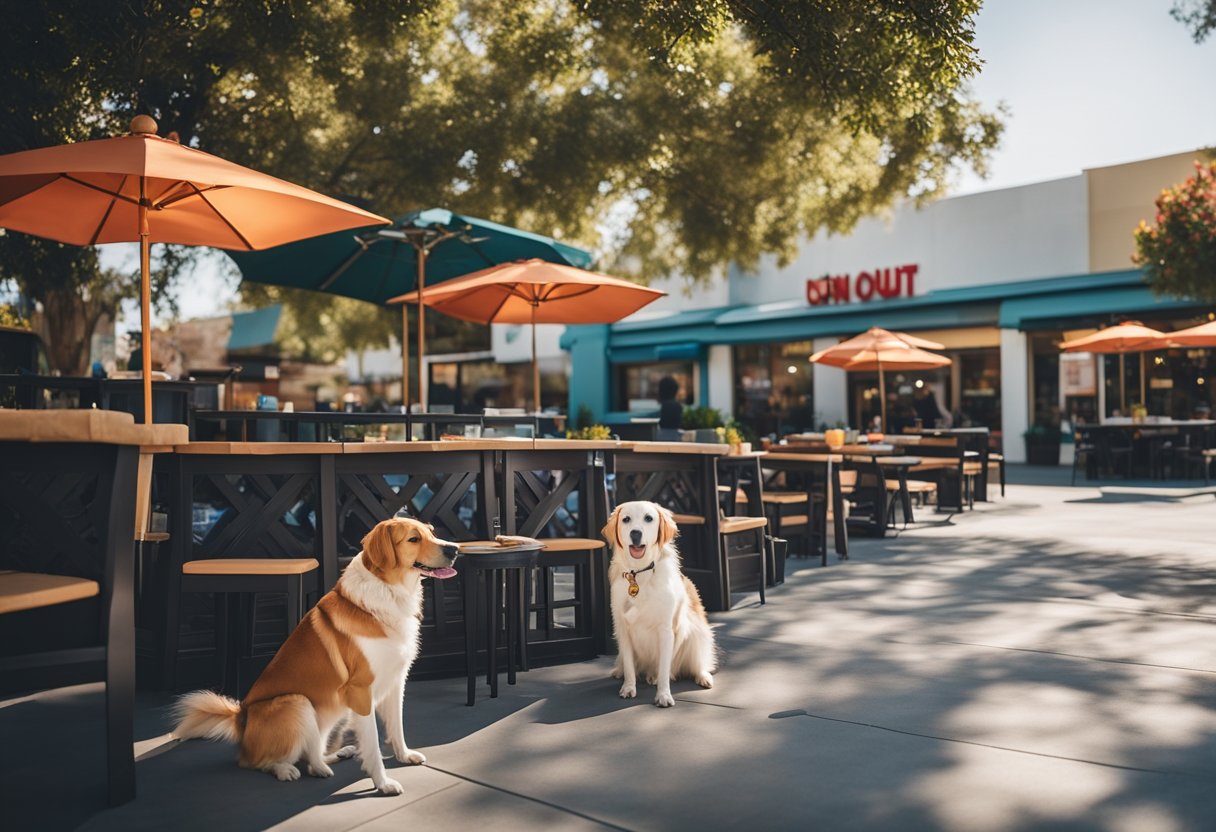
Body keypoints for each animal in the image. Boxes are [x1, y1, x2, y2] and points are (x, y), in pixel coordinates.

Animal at [170, 515, 457, 797]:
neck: (387, 590)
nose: (454, 549)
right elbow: (373, 744)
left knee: (310, 754)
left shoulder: (395, 682)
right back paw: (287, 770)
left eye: (431, 533)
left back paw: (333, 758)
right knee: (257, 762)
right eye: (413, 539)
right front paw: (383, 783)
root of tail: (241, 718)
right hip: (297, 702)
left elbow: (396, 727)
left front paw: (404, 755)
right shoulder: (361, 691)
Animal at [603, 501, 715, 710]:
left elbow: (663, 669)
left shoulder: (665, 630)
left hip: (697, 632)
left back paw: (703, 677)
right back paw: (620, 671)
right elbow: (630, 666)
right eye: (626, 519)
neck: (639, 574)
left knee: (697, 663)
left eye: (648, 518)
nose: (635, 533)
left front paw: (663, 695)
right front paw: (628, 687)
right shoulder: (623, 628)